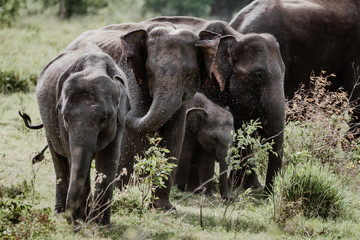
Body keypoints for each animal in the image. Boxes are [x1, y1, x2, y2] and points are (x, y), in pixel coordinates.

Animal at [35, 41, 130, 225]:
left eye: (104, 119)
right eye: (65, 116)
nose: (70, 216)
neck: (94, 67)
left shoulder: (119, 119)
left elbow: (109, 160)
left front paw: (101, 225)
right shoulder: (60, 119)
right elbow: (73, 157)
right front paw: (81, 221)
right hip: (48, 122)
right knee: (59, 160)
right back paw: (59, 213)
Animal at [145, 16, 286, 193]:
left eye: (284, 73)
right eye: (258, 75)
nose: (266, 194)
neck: (234, 38)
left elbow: (242, 126)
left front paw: (247, 186)